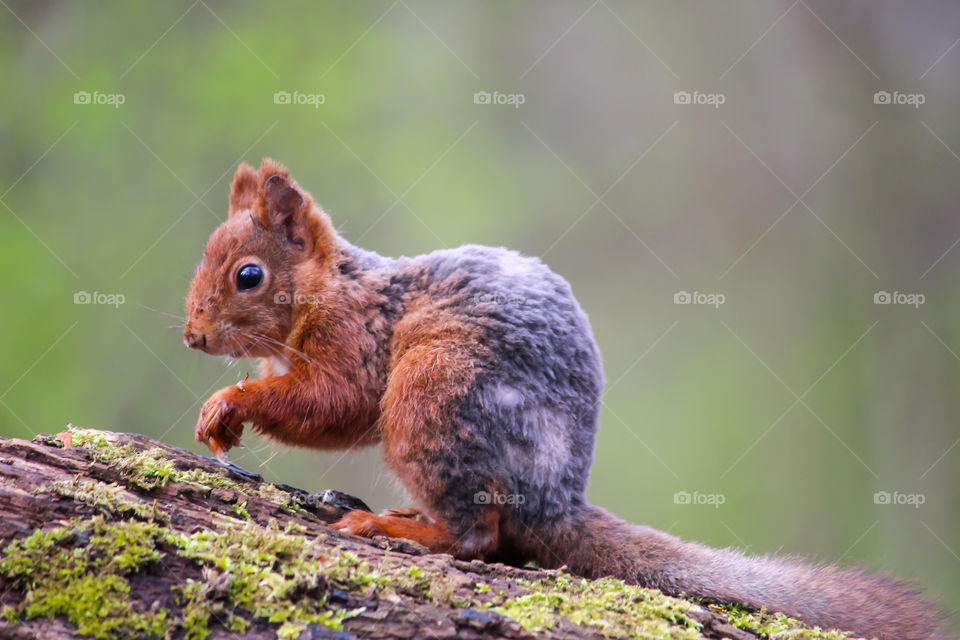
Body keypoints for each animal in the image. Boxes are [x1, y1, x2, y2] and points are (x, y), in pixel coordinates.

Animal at [184, 158, 950, 640]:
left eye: (248, 275)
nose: (192, 336)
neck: (331, 288)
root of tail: (554, 497)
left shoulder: (358, 344)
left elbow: (334, 403)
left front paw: (229, 403)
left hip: (431, 397)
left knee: (478, 537)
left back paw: (398, 527)